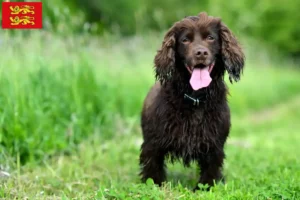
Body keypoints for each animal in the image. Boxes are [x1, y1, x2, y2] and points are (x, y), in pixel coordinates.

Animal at [139, 11, 245, 190]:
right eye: (185, 40)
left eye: (210, 37)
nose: (200, 53)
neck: (195, 98)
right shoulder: (152, 144)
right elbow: (153, 170)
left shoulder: (214, 146)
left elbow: (210, 172)